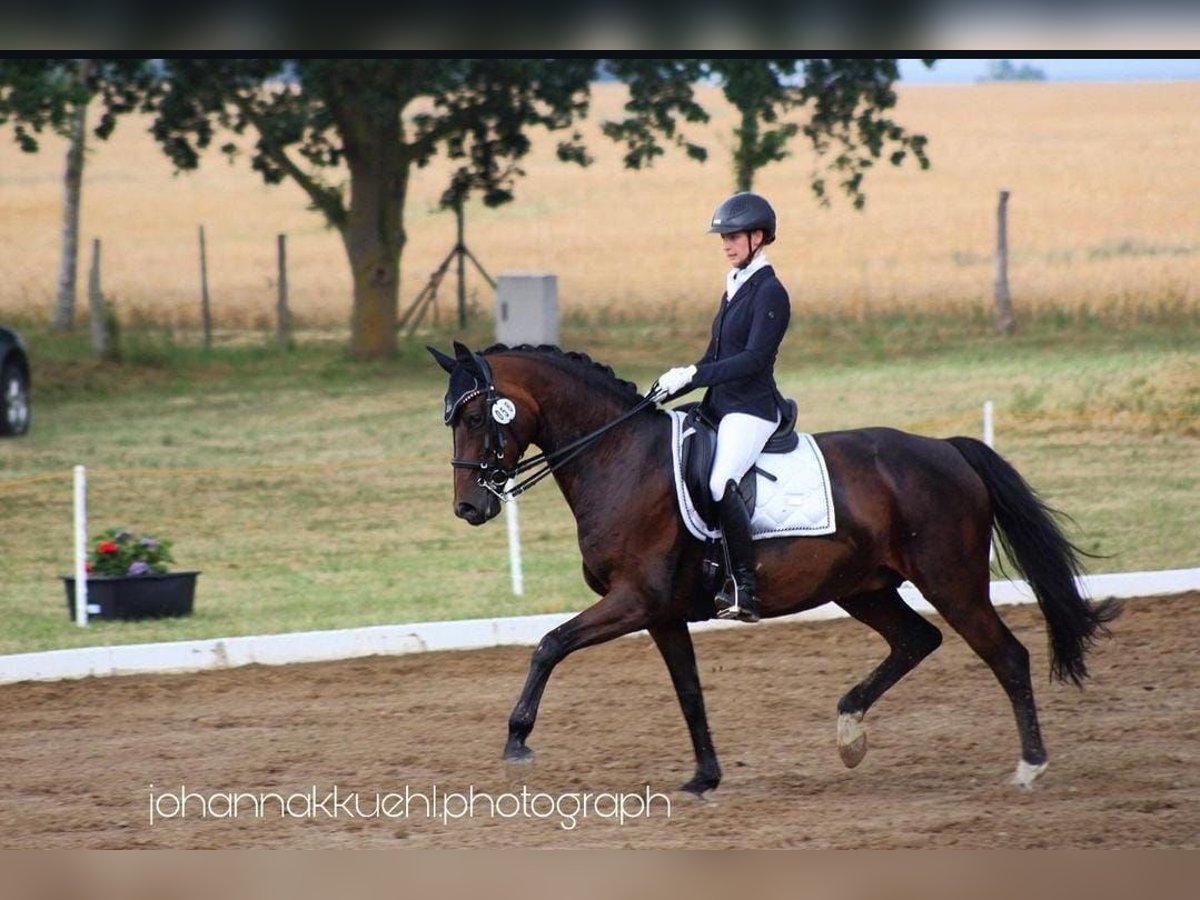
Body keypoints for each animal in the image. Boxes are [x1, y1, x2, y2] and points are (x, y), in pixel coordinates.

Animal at [427, 340, 1118, 792]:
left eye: (475, 415)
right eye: (450, 418)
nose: (469, 507)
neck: (618, 457)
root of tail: (947, 450)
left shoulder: (633, 600)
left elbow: (549, 643)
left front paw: (517, 739)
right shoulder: (661, 612)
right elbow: (689, 691)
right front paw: (704, 778)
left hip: (950, 581)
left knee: (1007, 655)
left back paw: (1029, 766)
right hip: (864, 588)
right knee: (916, 639)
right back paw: (849, 732)